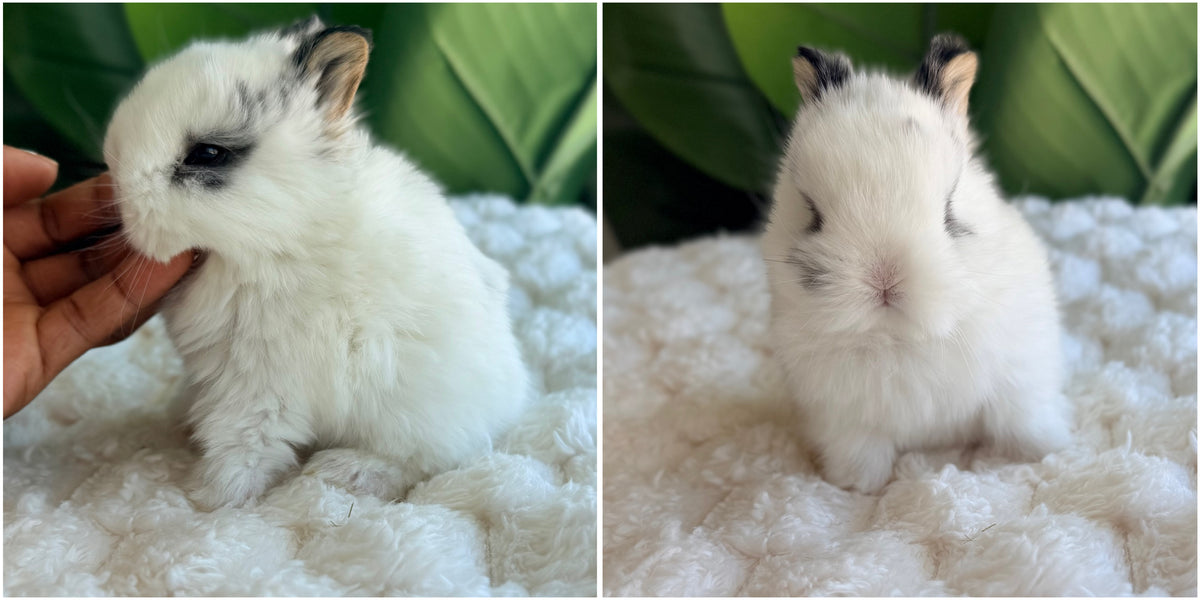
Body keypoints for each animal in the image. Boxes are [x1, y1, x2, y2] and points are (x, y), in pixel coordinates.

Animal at [102, 17, 530, 509]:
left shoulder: (261, 389)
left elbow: (243, 446)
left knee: (423, 462)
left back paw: (345, 471)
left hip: (414, 418)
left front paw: (208, 498)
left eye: (208, 154)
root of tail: (513, 396)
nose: (120, 195)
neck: (280, 242)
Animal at [761, 34, 1071, 494]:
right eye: (812, 211)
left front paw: (1049, 454)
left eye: (949, 207)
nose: (884, 281)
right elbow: (862, 456)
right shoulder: (844, 421)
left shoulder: (1020, 378)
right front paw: (856, 487)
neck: (899, 338)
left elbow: (1022, 422)